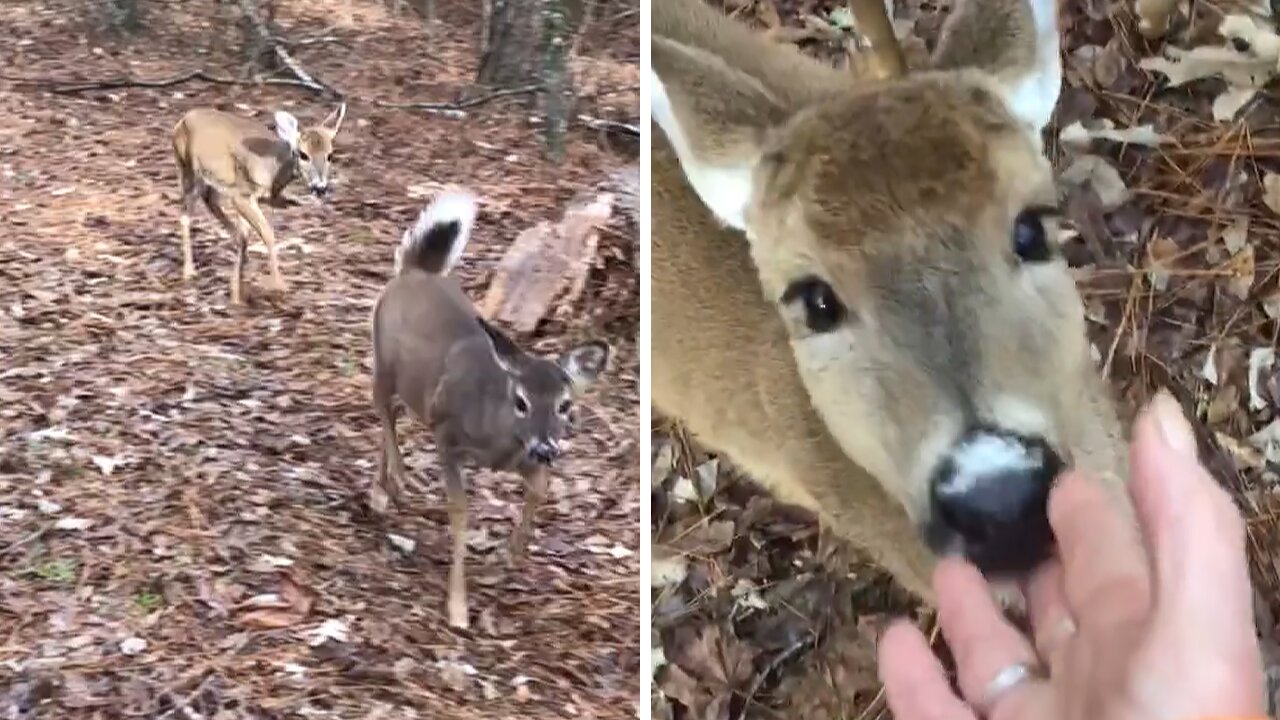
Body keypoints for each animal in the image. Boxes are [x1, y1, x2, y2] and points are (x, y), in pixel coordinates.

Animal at [174, 103, 350, 302]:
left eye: (330, 155)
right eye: (303, 154)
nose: (320, 187)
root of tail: (183, 119)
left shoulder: (255, 196)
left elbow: (250, 231)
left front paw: (238, 286)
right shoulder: (242, 195)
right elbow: (268, 234)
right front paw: (279, 285)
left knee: (211, 201)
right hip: (187, 169)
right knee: (186, 215)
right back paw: (189, 272)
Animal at [368, 188, 611, 625]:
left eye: (565, 404)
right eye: (521, 401)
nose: (546, 446)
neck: (498, 439)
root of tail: (413, 270)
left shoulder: (523, 460)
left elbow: (540, 491)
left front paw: (510, 554)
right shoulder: (447, 436)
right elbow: (460, 512)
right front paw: (458, 607)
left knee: (391, 412)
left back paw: (382, 491)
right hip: (384, 360)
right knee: (382, 406)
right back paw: (396, 478)